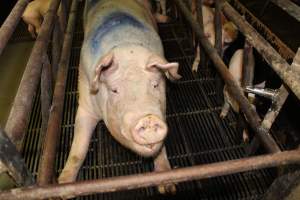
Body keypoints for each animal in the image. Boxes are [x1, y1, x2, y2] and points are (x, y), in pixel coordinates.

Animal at [58, 0, 180, 195]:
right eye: (115, 90)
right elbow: (79, 147)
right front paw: (63, 187)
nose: (149, 119)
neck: (126, 47)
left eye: (155, 85)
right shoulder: (85, 102)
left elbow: (160, 149)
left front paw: (168, 188)